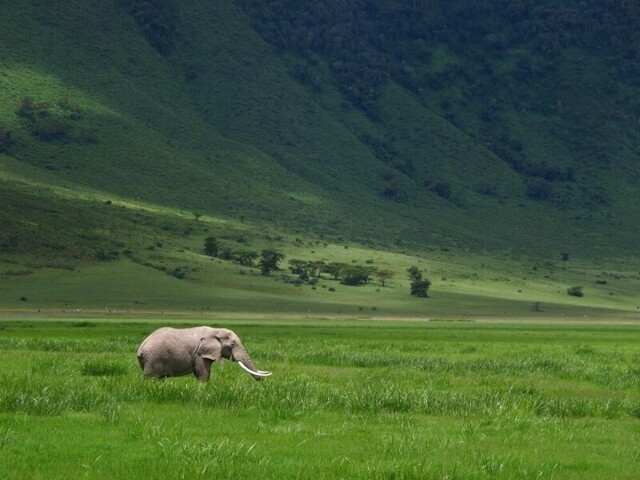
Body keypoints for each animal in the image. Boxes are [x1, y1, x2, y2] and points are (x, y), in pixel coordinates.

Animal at [136, 326, 272, 382]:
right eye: (233, 345)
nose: (262, 382)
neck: (216, 330)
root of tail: (140, 349)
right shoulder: (199, 353)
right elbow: (203, 373)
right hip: (153, 358)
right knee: (151, 378)